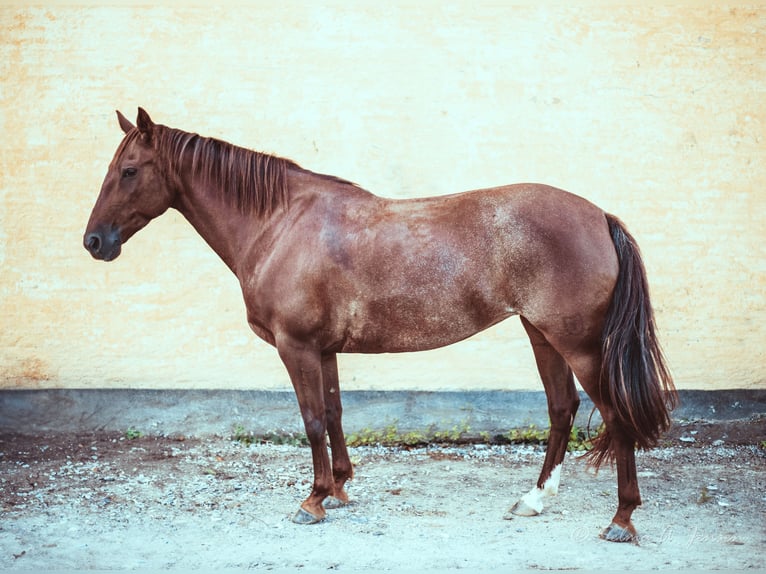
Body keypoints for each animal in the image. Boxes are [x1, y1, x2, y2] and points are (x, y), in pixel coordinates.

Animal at [82, 109, 680, 544]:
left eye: (129, 170)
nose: (94, 242)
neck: (280, 223)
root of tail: (599, 216)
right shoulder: (323, 350)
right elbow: (333, 413)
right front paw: (340, 489)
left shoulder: (296, 348)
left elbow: (311, 420)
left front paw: (313, 500)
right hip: (542, 334)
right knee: (562, 408)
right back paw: (534, 500)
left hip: (578, 343)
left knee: (614, 413)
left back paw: (621, 520)